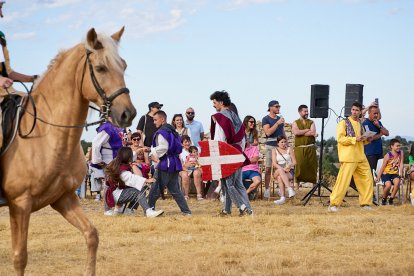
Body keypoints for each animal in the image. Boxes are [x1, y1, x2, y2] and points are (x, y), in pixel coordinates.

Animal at [0, 27, 136, 274]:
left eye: (124, 65)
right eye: (100, 68)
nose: (128, 113)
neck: (46, 137)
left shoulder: (64, 198)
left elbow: (91, 235)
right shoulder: (20, 204)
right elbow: (19, 257)